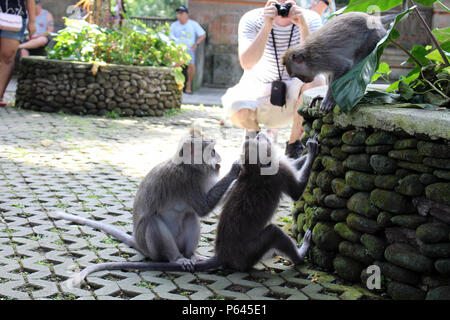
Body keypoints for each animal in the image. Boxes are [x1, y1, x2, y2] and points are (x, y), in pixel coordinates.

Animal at [60, 131, 320, 286]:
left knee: (189, 217)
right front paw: (312, 152)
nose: (220, 157)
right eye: (212, 151)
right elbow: (296, 191)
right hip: (243, 254)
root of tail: (224, 254)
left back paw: (192, 255)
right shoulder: (188, 180)